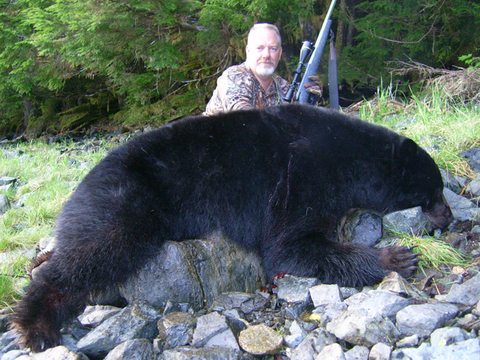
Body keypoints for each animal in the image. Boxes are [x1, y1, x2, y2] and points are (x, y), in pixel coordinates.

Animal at [12, 104, 454, 352]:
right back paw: (34, 325)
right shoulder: (302, 174)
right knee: (94, 252)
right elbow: (288, 247)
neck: (352, 157)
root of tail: (76, 188)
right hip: (125, 200)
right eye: (434, 191)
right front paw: (395, 257)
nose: (450, 217)